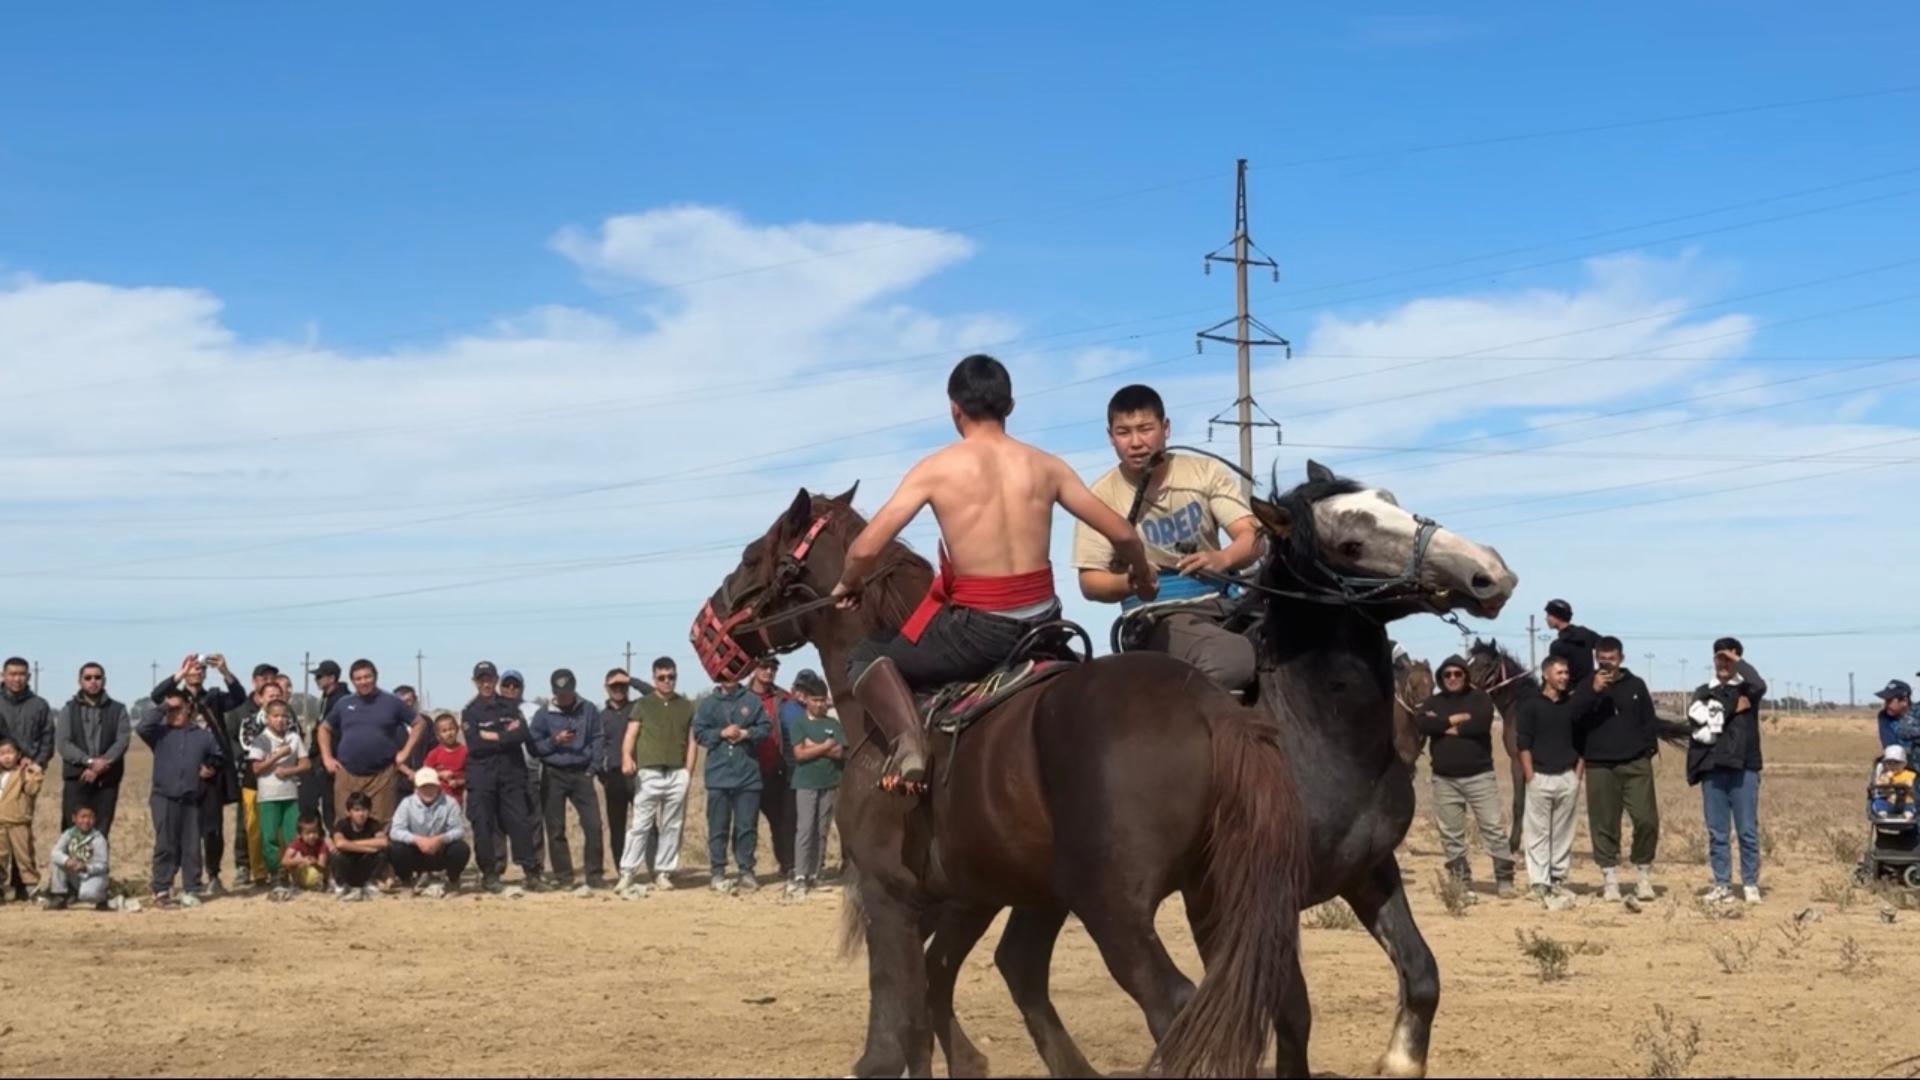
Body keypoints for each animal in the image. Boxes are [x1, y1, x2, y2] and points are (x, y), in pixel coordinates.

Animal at [697, 484, 1312, 1078]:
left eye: (752, 557)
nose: (706, 620)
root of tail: (1211, 707)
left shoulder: (887, 894)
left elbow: (895, 1029)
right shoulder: (979, 895)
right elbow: (939, 988)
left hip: (1114, 909)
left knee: (1174, 1006)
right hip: (1208, 897)